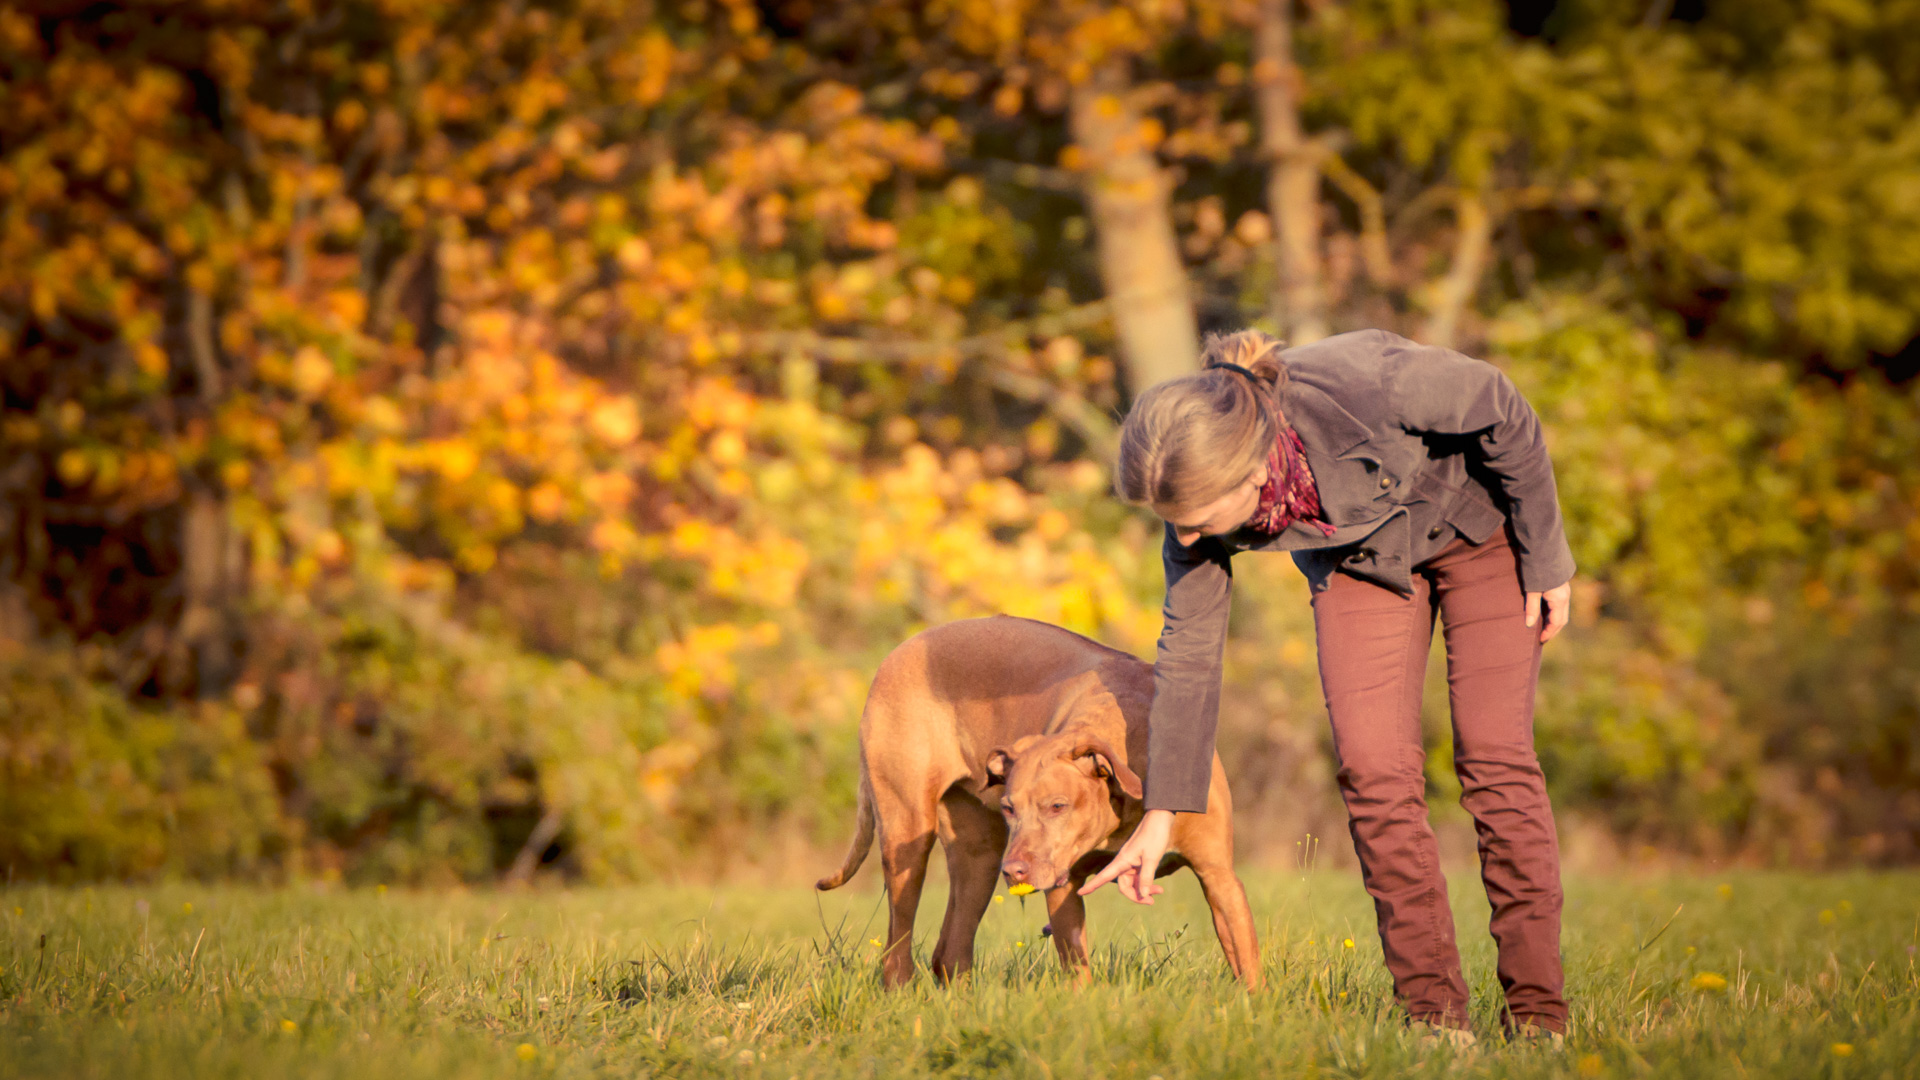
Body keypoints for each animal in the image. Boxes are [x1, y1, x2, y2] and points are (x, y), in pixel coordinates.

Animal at [814, 614, 1251, 983]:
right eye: (1011, 808)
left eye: (1057, 806)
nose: (1016, 870)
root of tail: (893, 656)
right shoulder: (1063, 886)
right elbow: (1077, 970)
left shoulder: (1219, 875)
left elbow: (1246, 962)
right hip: (909, 838)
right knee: (897, 949)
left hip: (979, 859)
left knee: (950, 952)